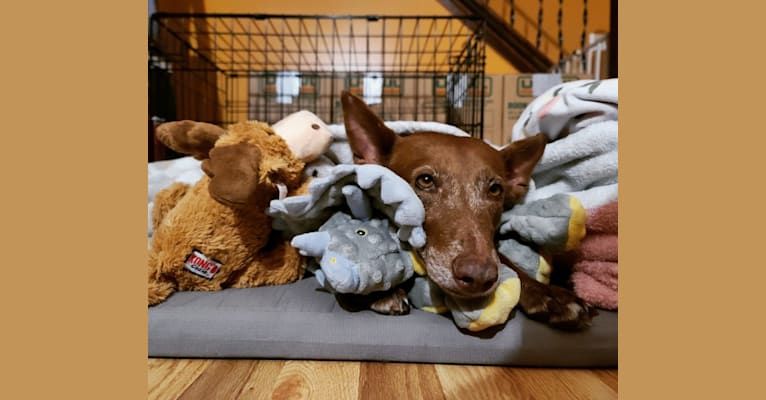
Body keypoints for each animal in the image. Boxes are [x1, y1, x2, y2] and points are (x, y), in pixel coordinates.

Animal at [342, 91, 600, 332]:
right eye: (425, 181)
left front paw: (550, 295)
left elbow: (505, 260)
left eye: (495, 189)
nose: (478, 276)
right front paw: (382, 291)